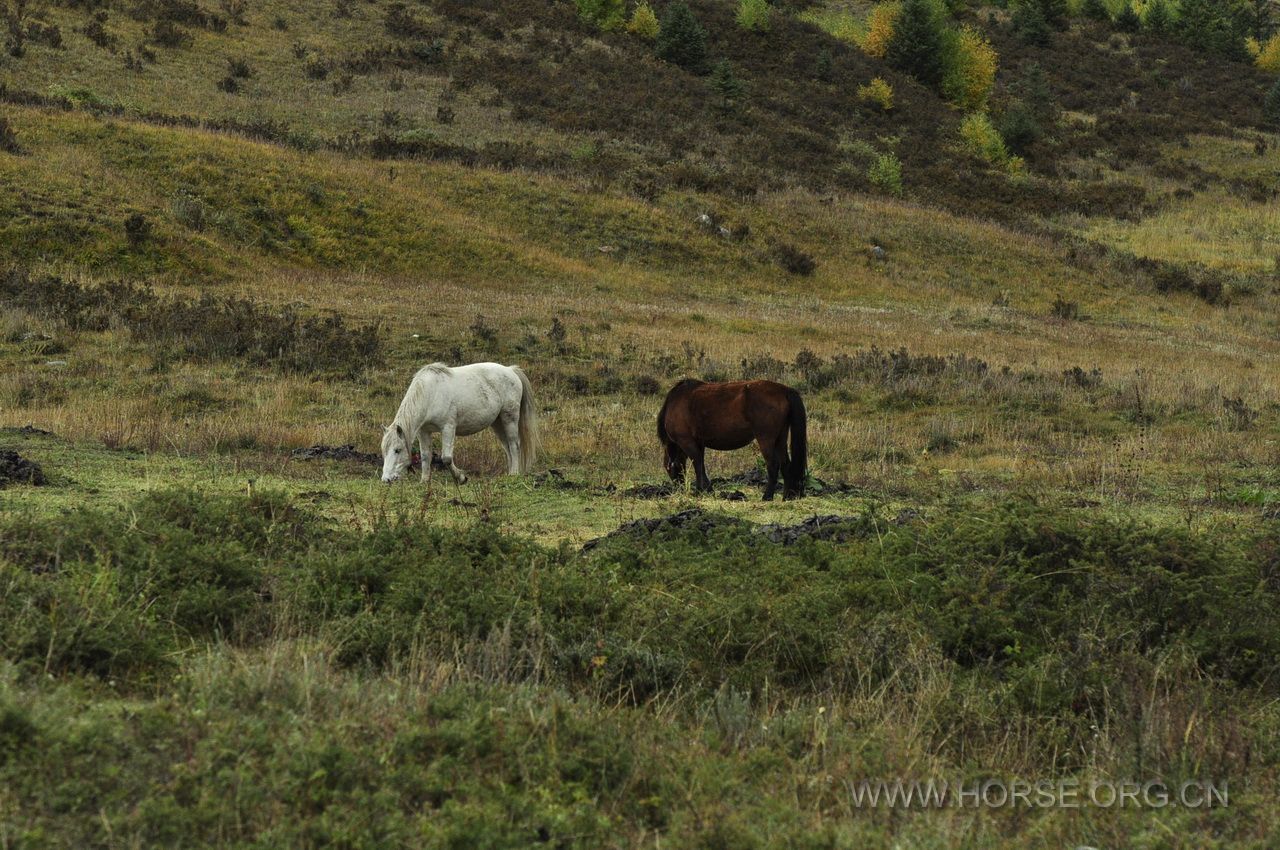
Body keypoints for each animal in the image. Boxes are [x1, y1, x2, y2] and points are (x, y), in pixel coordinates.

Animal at [378, 360, 540, 483]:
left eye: (397, 450)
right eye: (384, 450)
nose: (386, 479)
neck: (430, 394)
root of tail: (511, 370)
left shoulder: (448, 428)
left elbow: (446, 458)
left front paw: (461, 478)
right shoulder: (424, 432)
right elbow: (425, 456)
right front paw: (424, 481)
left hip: (509, 418)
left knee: (514, 445)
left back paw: (514, 473)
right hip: (498, 423)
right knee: (507, 447)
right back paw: (510, 472)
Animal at [655, 376, 803, 499]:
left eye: (668, 469)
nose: (679, 487)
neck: (676, 402)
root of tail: (784, 390)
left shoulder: (687, 442)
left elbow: (697, 464)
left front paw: (701, 490)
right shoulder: (699, 443)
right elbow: (701, 465)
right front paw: (705, 490)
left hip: (766, 440)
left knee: (773, 464)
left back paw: (767, 497)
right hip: (780, 439)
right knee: (785, 463)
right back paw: (787, 496)